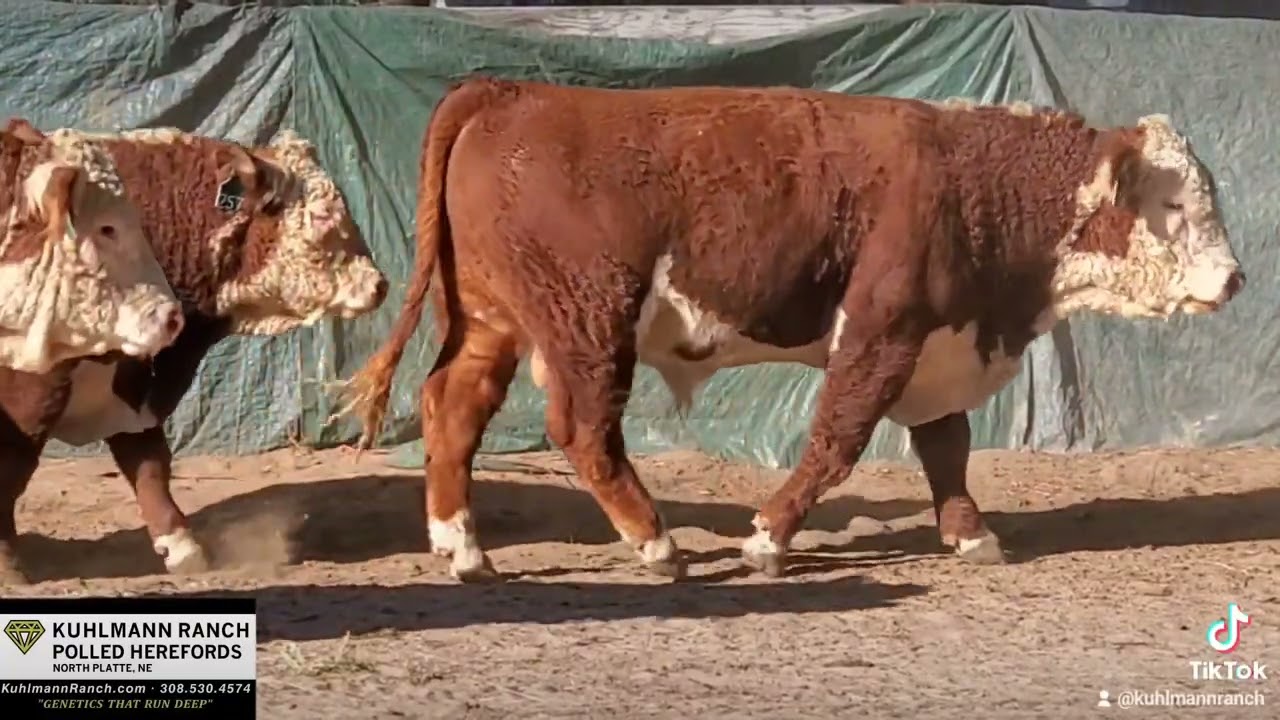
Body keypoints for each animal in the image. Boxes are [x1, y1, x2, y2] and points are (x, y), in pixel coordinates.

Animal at [341, 77, 1245, 582]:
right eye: (1174, 202)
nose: (1235, 278)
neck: (970, 182)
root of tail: (511, 91)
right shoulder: (882, 333)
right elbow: (837, 441)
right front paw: (767, 540)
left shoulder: (937, 346)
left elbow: (947, 448)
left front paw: (970, 535)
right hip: (588, 319)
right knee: (585, 428)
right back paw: (656, 545)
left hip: (492, 321)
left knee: (452, 408)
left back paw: (463, 549)